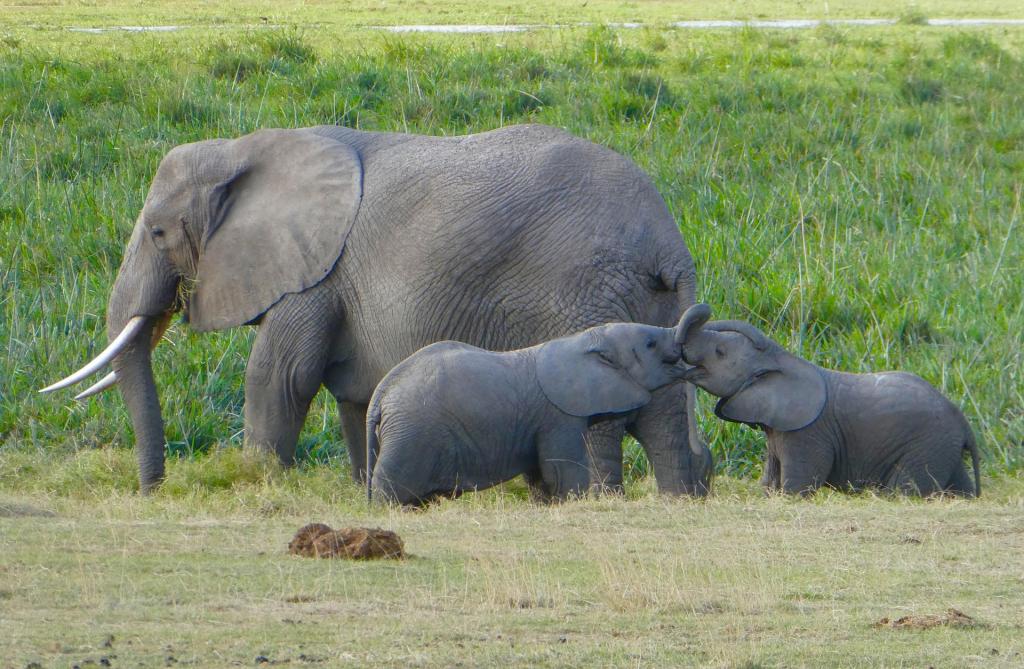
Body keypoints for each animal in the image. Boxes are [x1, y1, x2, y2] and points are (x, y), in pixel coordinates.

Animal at [364, 315, 692, 504]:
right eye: (650, 344)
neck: (580, 341)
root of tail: (380, 395)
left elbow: (541, 474)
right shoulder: (558, 416)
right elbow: (561, 469)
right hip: (411, 433)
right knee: (390, 483)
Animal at [675, 303, 978, 495]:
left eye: (720, 352)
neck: (782, 359)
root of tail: (965, 426)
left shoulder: (808, 433)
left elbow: (797, 486)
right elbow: (769, 482)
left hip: (926, 446)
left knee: (903, 491)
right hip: (943, 449)